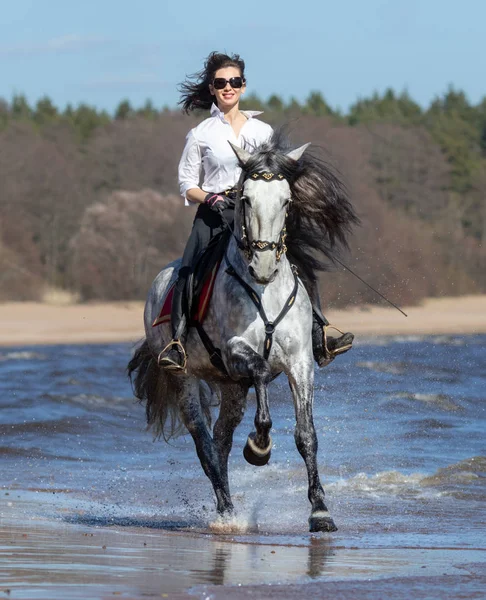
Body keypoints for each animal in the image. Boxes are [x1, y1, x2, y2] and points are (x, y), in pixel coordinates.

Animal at [127, 132, 358, 536]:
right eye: (246, 198)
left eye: (287, 200)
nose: (263, 266)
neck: (265, 291)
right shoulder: (236, 350)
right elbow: (263, 372)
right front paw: (260, 447)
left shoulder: (300, 362)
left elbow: (307, 435)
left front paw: (320, 511)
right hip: (186, 379)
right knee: (204, 444)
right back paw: (227, 513)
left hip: (232, 386)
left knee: (221, 440)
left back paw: (227, 505)